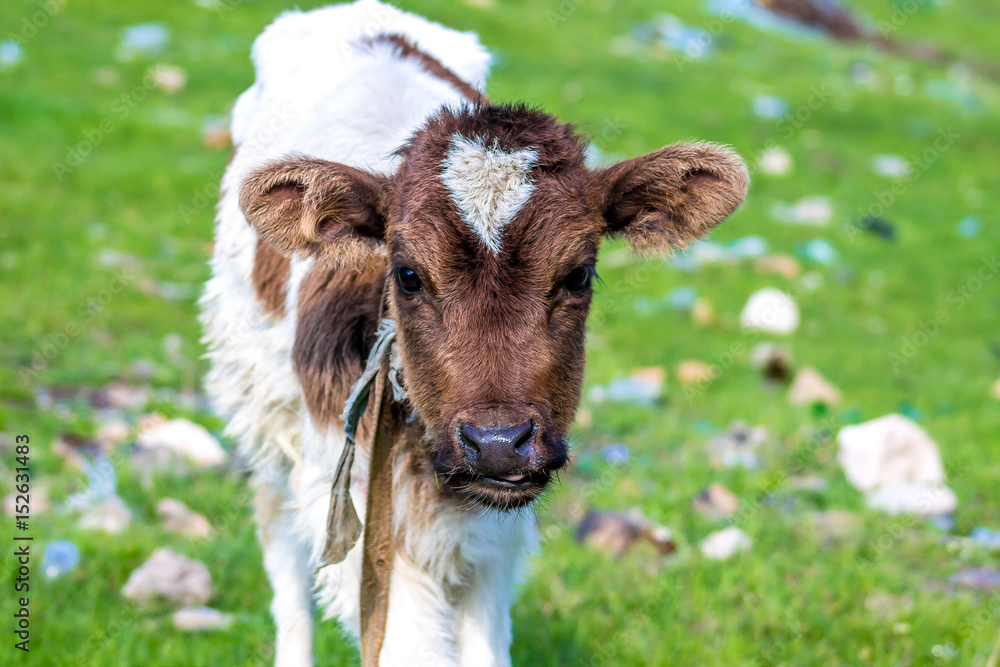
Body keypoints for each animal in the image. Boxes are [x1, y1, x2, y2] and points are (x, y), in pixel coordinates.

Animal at [199, 1, 748, 665]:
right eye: (407, 275)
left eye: (579, 274)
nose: (497, 443)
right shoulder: (355, 505)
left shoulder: (496, 540)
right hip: (262, 411)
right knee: (281, 549)